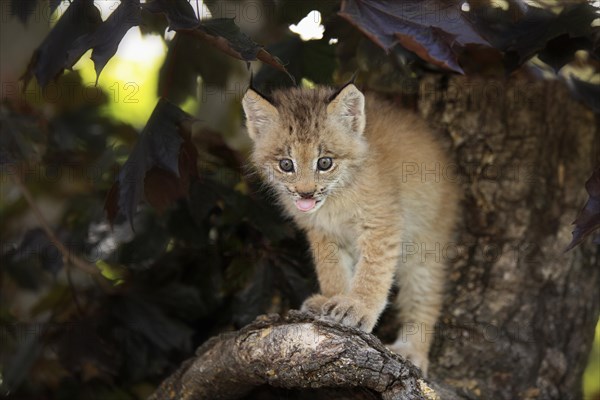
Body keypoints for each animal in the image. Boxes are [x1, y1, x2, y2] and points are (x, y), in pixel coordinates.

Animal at [241, 82, 458, 376]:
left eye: (325, 163)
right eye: (286, 164)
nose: (306, 193)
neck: (335, 199)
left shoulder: (381, 223)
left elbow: (373, 272)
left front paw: (358, 307)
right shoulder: (321, 231)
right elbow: (330, 269)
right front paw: (333, 299)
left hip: (426, 241)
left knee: (424, 295)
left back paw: (412, 349)